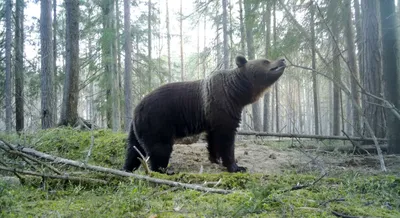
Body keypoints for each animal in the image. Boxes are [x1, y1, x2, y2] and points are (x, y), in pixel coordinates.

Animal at [122, 55, 284, 174]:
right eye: (266, 60)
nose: (282, 59)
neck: (236, 93)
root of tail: (137, 109)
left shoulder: (213, 118)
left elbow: (213, 139)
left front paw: (215, 159)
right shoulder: (223, 108)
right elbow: (227, 139)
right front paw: (236, 166)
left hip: (136, 129)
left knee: (133, 151)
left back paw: (127, 169)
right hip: (157, 121)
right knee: (160, 148)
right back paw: (164, 170)